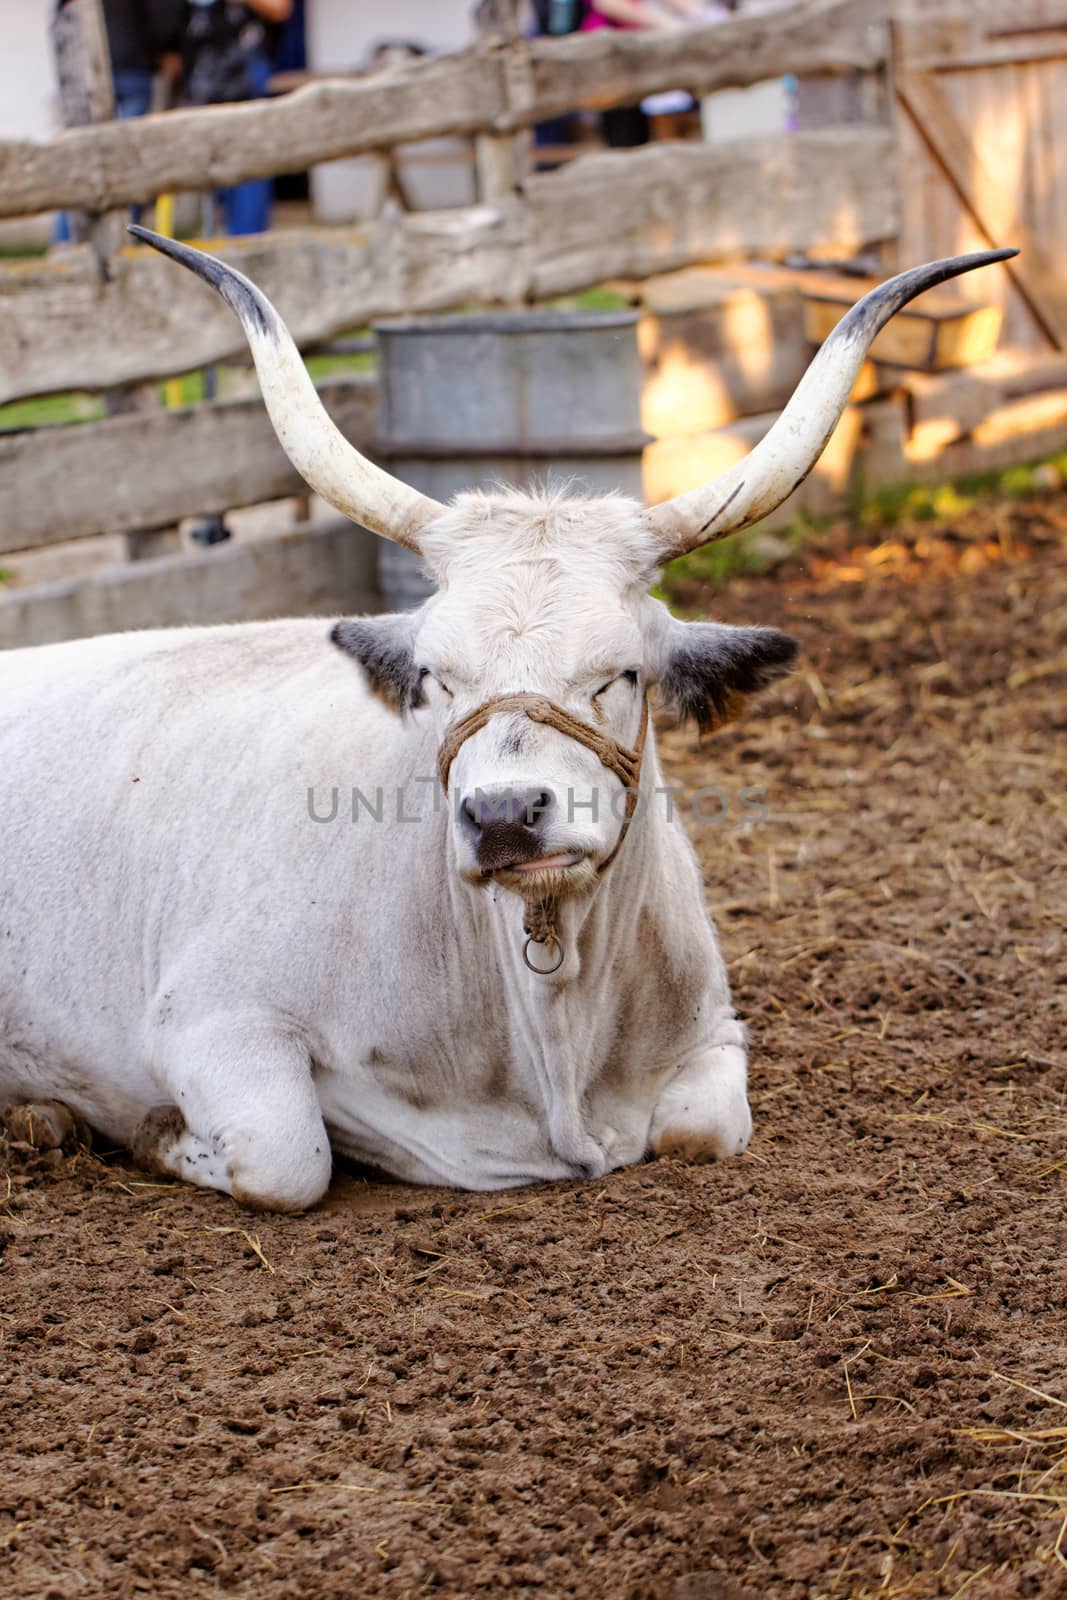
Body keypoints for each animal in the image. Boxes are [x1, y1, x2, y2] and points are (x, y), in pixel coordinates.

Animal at [0, 232, 1017, 1203]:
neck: (553, 1043)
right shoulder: (214, 1020)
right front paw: (150, 1131)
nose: (500, 817)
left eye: (624, 672)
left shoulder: (714, 1035)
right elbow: (287, 1158)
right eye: (434, 677)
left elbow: (702, 1131)